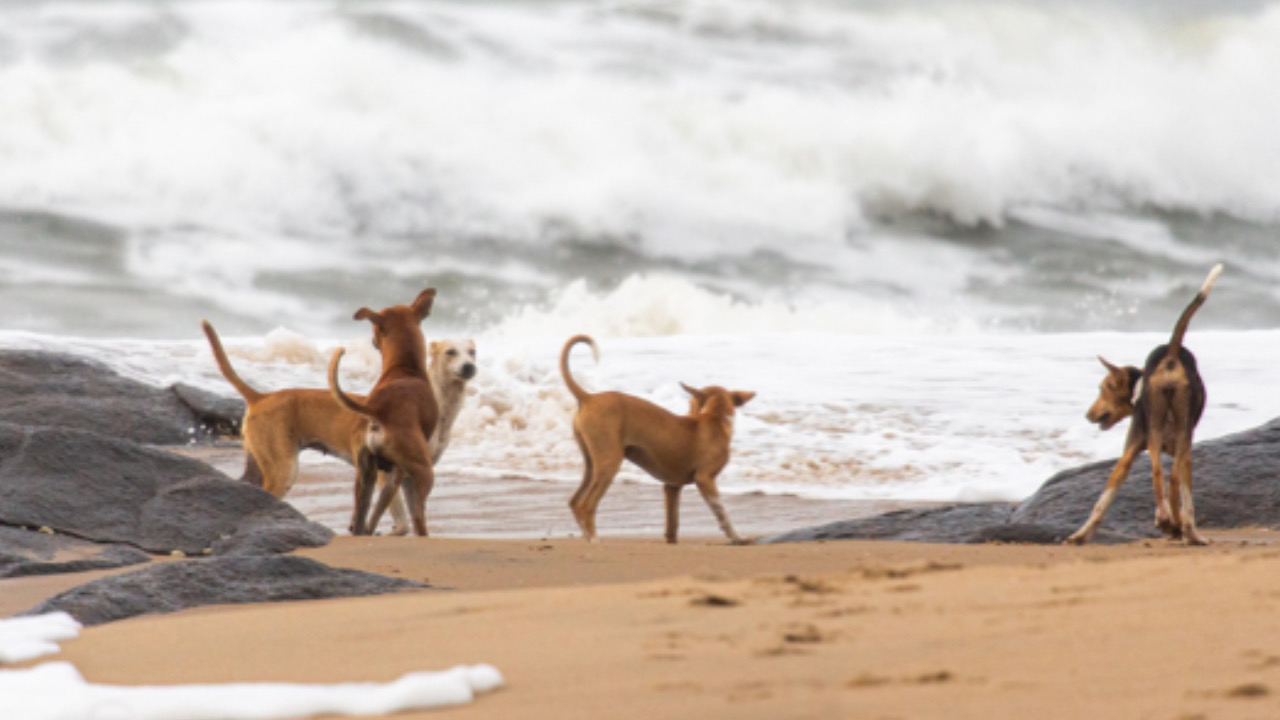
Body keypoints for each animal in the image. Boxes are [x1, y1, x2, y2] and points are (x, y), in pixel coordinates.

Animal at [202, 319, 478, 532]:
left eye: (472, 352)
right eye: (450, 352)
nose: (469, 367)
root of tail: (261, 396)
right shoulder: (390, 474)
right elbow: (401, 523)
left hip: (258, 465)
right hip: (284, 469)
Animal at [327, 288, 437, 535]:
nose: (372, 340)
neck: (405, 367)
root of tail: (378, 410)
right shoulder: (399, 474)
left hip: (364, 476)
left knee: (360, 520)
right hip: (421, 472)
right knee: (417, 517)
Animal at [558, 333, 752, 540]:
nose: (688, 412)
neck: (715, 417)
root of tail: (589, 397)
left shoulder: (672, 487)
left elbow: (672, 524)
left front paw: (671, 539)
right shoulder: (705, 479)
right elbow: (722, 514)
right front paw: (737, 538)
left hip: (592, 464)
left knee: (574, 501)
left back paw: (587, 537)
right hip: (609, 463)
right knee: (587, 505)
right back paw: (595, 539)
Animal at [1064, 263, 1223, 543]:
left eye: (1102, 389)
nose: (1088, 415)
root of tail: (1171, 353)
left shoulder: (1130, 452)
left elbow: (1103, 501)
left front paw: (1081, 534)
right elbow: (1178, 493)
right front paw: (1178, 526)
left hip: (1164, 438)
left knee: (1159, 475)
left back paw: (1172, 523)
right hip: (1178, 438)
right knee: (1168, 478)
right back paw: (1182, 528)